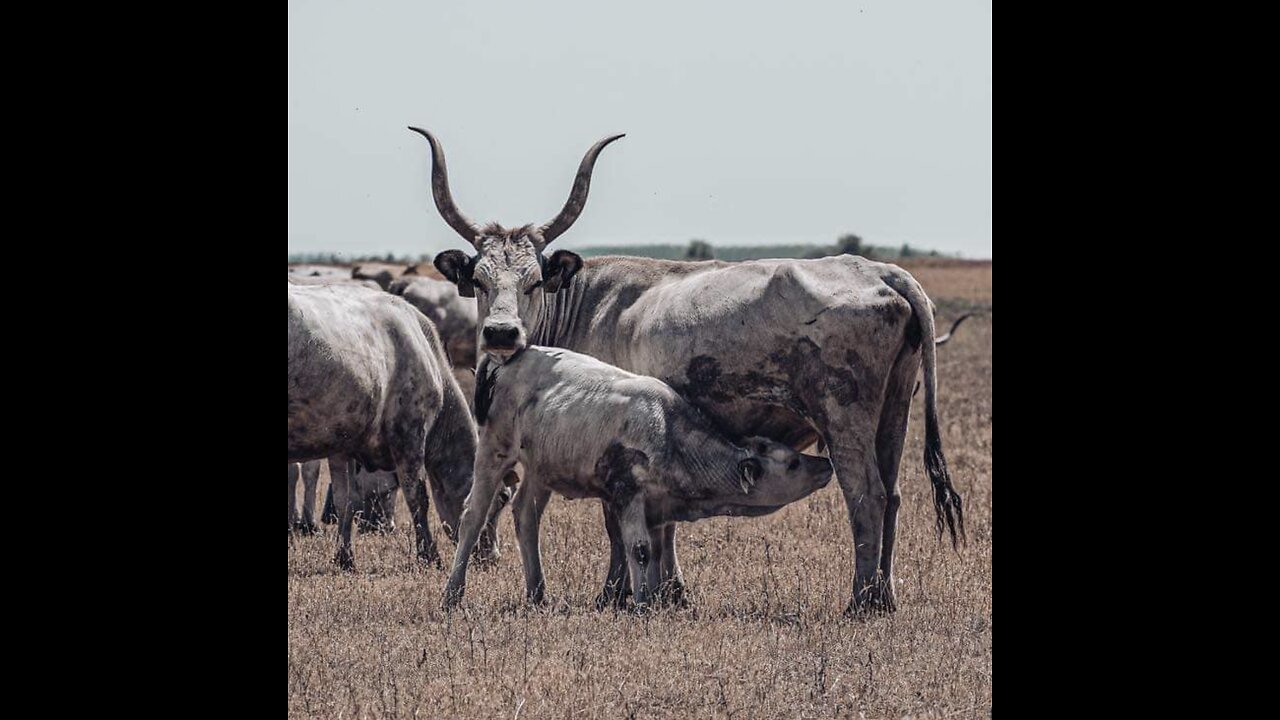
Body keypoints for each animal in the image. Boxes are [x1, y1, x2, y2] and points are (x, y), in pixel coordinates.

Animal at [290, 280, 481, 566]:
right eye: (504, 497)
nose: (491, 555)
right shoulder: (409, 434)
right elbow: (417, 497)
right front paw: (429, 554)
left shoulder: (342, 445)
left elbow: (347, 500)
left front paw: (345, 556)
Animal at [445, 345, 834, 607]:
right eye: (792, 463)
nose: (825, 465)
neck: (670, 437)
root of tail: (508, 359)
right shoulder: (627, 493)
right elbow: (641, 549)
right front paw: (642, 603)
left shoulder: (659, 508)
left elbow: (659, 549)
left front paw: (656, 598)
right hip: (494, 449)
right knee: (473, 516)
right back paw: (453, 592)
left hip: (541, 468)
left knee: (526, 515)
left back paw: (538, 593)